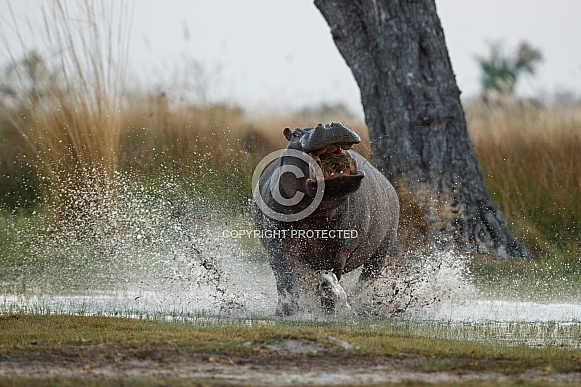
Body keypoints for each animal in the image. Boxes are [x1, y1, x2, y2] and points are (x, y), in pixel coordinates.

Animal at [251, 123, 396, 316]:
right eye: (295, 134)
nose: (328, 125)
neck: (315, 213)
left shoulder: (340, 249)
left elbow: (331, 278)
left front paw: (328, 309)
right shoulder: (278, 244)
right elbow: (285, 277)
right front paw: (286, 312)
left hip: (382, 249)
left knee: (367, 277)